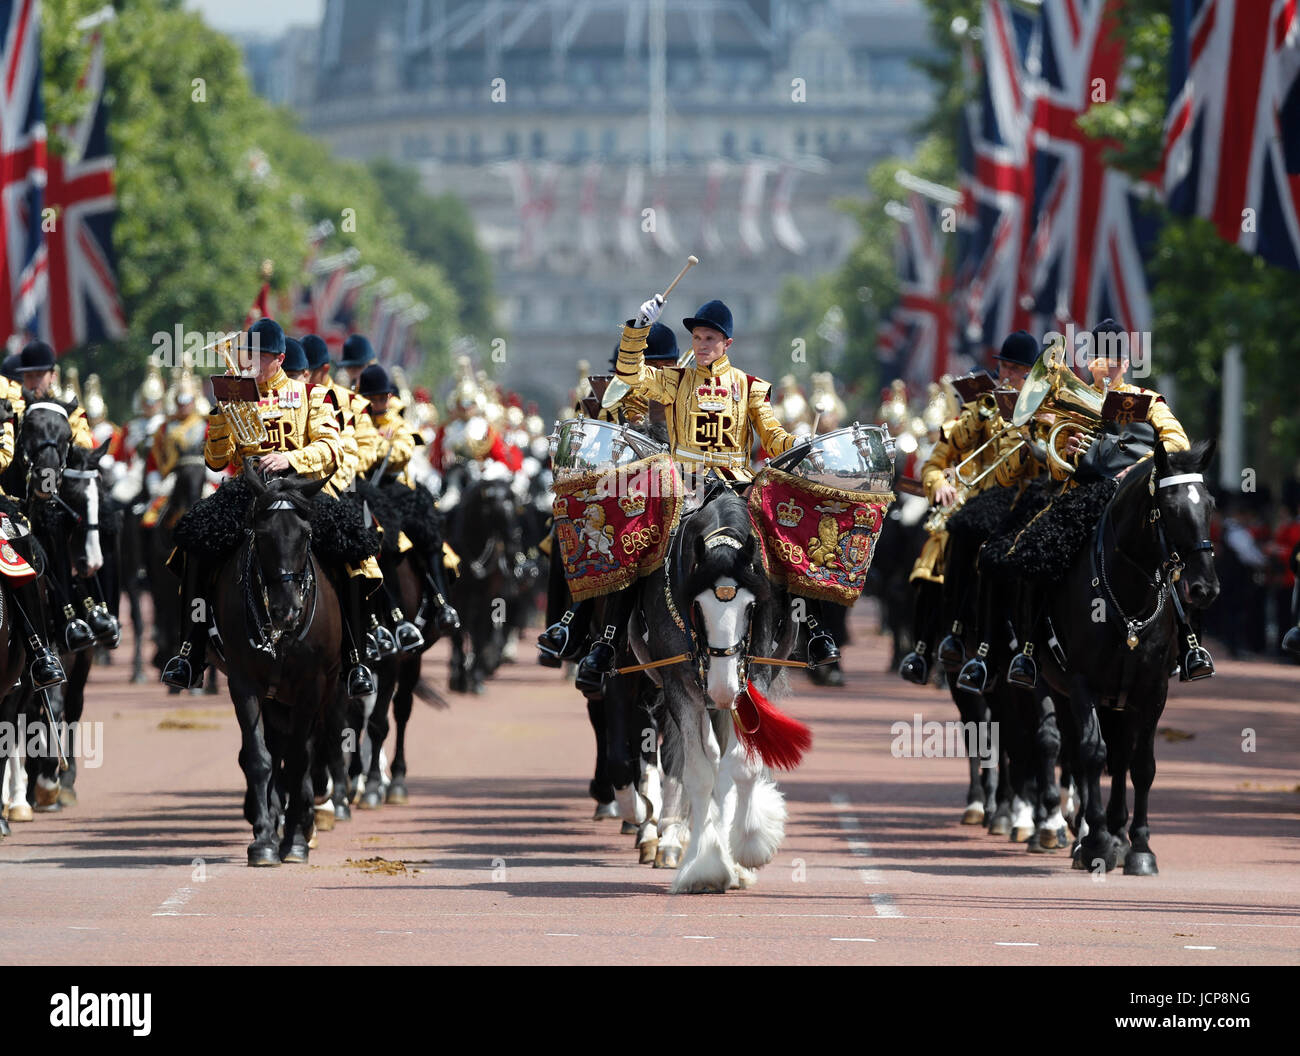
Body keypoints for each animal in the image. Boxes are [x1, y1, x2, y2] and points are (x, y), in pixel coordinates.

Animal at [1034, 436, 1216, 873]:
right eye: (1170, 509)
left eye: (1211, 504)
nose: (1205, 587)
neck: (1128, 595)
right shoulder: (1082, 684)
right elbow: (1091, 753)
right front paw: (1097, 841)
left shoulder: (1150, 691)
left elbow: (1141, 765)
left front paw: (1140, 847)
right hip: (1055, 686)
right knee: (1073, 750)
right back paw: (1078, 833)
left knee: (1117, 758)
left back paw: (1113, 833)